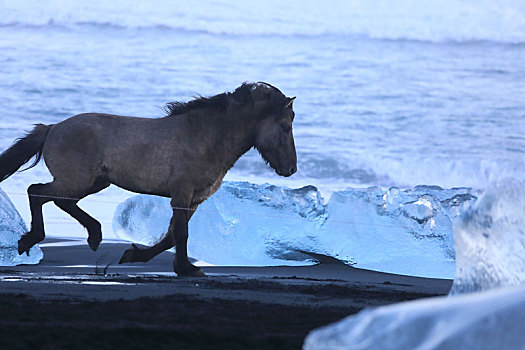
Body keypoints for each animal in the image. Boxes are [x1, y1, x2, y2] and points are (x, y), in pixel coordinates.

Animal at [0, 82, 294, 276]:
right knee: (36, 191)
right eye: (285, 126)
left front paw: (134, 255)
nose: (291, 168)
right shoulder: (182, 193)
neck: (204, 137)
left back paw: (93, 236)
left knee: (58, 199)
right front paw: (187, 269)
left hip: (94, 182)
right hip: (78, 180)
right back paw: (31, 240)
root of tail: (52, 128)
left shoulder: (194, 199)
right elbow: (180, 233)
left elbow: (172, 236)